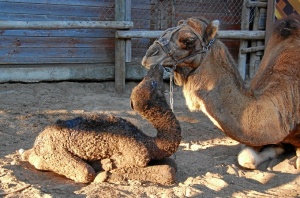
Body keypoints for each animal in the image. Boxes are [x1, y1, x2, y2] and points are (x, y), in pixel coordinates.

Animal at [21, 64, 182, 184]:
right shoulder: (137, 152)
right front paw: (104, 171)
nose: (157, 66)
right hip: (53, 150)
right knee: (85, 172)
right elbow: (167, 170)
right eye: (154, 84)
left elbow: (172, 164)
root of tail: (38, 140)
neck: (150, 142)